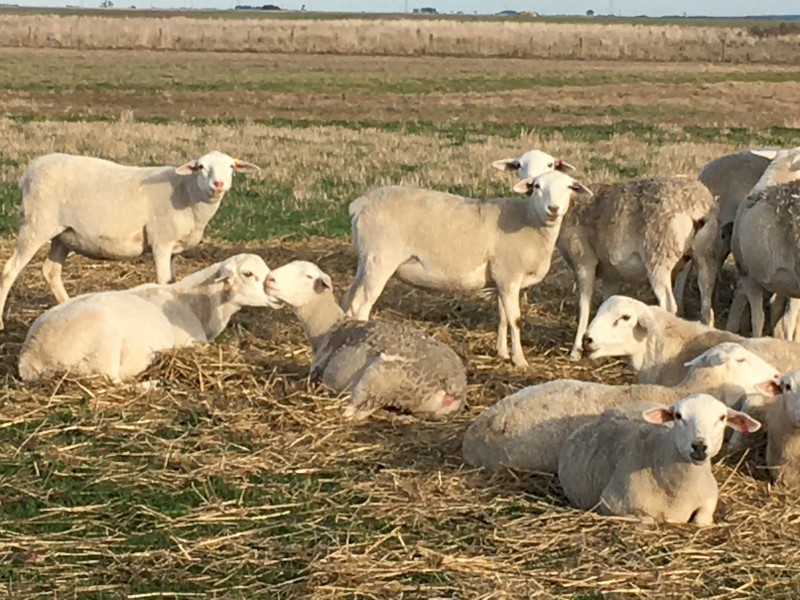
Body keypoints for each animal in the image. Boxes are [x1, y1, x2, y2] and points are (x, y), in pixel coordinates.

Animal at [0, 151, 261, 330]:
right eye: (201, 167)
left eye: (231, 166)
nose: (218, 185)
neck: (187, 192)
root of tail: (30, 171)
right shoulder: (161, 242)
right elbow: (163, 281)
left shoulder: (174, 249)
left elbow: (173, 282)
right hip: (36, 225)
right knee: (10, 270)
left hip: (63, 235)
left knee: (50, 271)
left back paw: (67, 305)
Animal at [18, 253, 275, 383]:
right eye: (248, 274)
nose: (275, 291)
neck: (193, 303)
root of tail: (31, 355)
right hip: (105, 341)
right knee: (111, 381)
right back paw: (151, 384)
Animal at [264, 260, 468, 420]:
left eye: (308, 276)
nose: (269, 279)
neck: (331, 327)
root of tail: (455, 387)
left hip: (379, 378)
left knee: (354, 410)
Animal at [341, 170, 593, 367]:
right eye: (537, 186)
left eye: (569, 187)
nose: (553, 208)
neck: (529, 220)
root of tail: (360, 204)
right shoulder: (509, 274)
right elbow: (515, 319)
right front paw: (519, 360)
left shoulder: (501, 279)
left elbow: (502, 316)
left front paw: (502, 353)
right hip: (382, 258)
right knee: (361, 305)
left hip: (366, 260)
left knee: (349, 299)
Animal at [557, 394, 761, 524]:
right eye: (678, 416)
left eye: (722, 417)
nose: (699, 446)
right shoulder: (611, 504)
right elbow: (649, 519)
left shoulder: (710, 496)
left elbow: (701, 520)